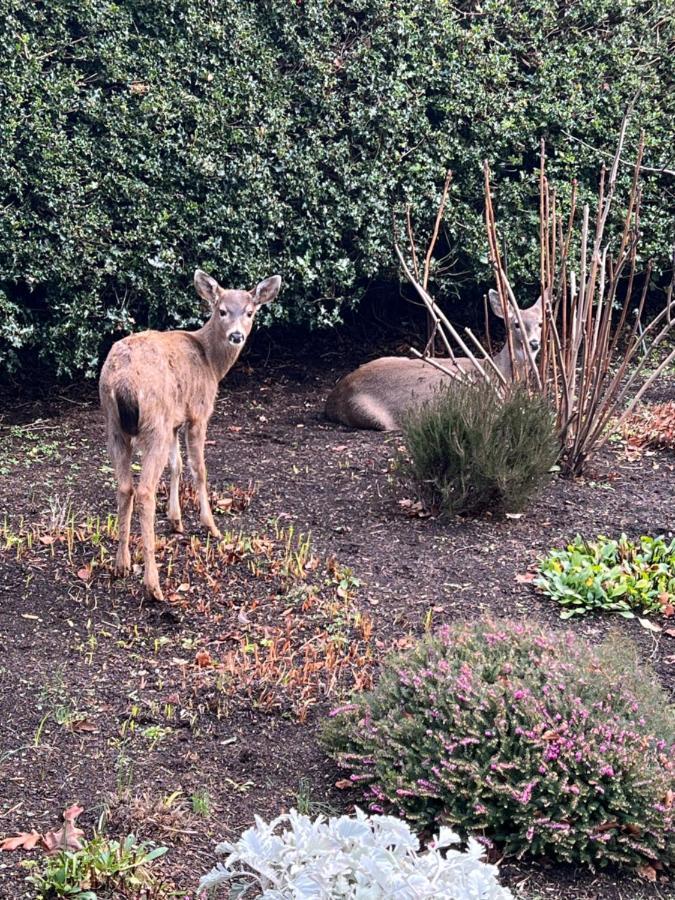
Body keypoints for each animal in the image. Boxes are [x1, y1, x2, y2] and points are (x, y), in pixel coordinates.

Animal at [99, 270, 282, 600]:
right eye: (222, 310)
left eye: (250, 312)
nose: (237, 335)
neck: (210, 361)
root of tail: (123, 383)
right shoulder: (198, 412)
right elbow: (199, 469)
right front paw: (210, 525)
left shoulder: (175, 420)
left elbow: (177, 465)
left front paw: (176, 520)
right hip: (153, 424)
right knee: (144, 490)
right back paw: (153, 584)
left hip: (114, 425)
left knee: (124, 486)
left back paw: (121, 564)